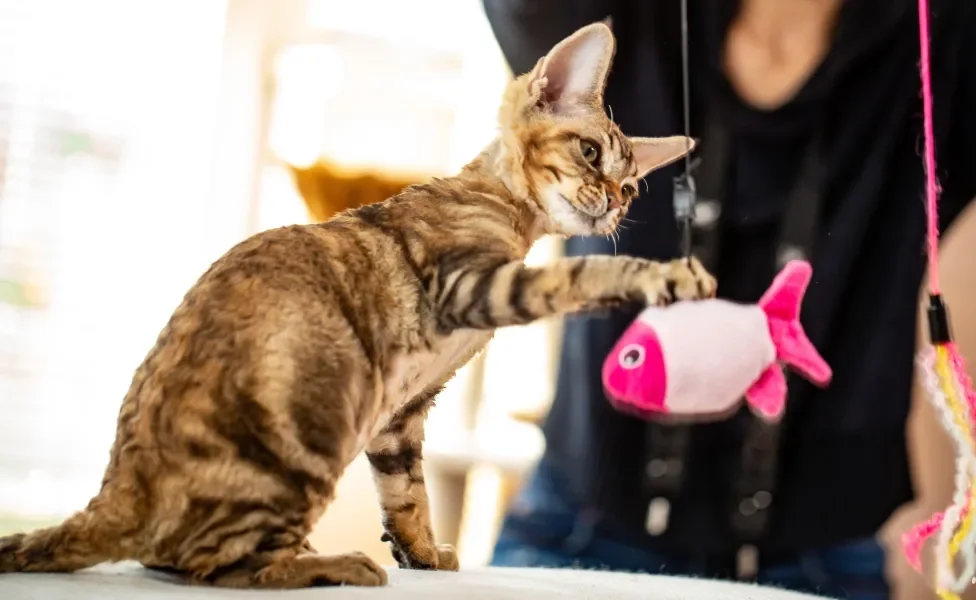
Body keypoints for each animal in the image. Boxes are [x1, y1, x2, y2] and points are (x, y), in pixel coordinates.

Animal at [0, 22, 716, 592]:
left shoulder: (400, 413)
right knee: (213, 566)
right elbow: (583, 272)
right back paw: (327, 564)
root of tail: (116, 496)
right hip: (316, 421)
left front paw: (422, 552)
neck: (507, 211)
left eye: (630, 187)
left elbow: (409, 494)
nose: (613, 205)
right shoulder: (468, 283)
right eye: (589, 152)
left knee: (184, 558)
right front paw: (664, 275)